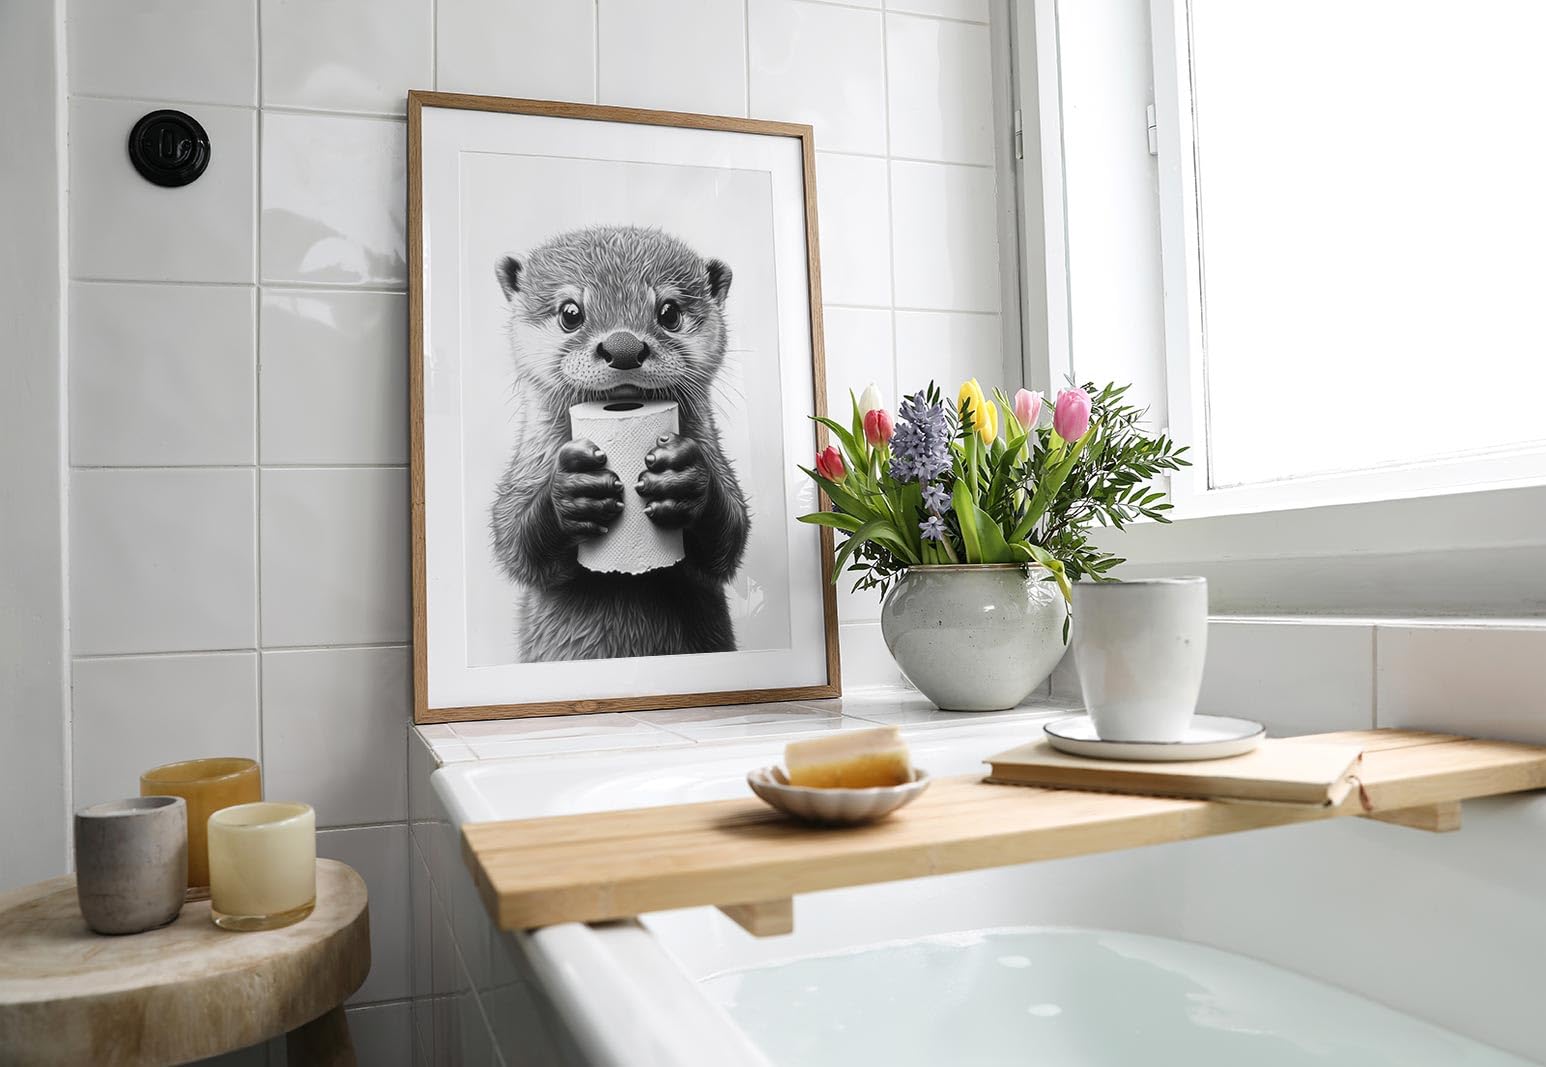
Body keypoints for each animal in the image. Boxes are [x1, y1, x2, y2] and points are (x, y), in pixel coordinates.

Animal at [489, 225, 752, 662]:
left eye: (669, 312)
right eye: (570, 313)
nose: (624, 347)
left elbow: (730, 537)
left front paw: (683, 481)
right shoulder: (524, 474)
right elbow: (514, 542)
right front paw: (574, 493)